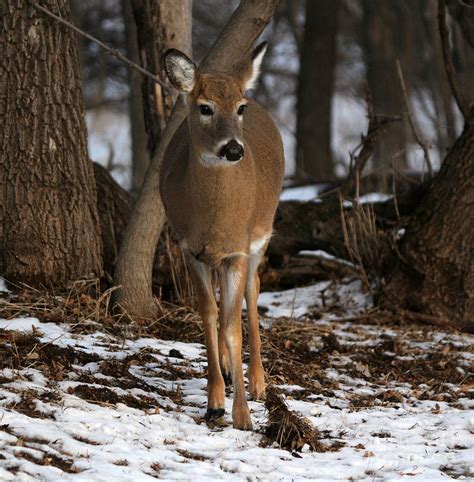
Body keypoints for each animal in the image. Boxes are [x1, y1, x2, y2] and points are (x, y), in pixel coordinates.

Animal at [161, 43, 284, 432]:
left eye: (239, 108)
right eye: (205, 107)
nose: (233, 149)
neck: (214, 219)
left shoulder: (237, 251)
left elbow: (232, 327)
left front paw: (242, 415)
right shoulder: (190, 248)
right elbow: (207, 313)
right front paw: (214, 402)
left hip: (261, 236)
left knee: (253, 294)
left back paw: (258, 382)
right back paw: (230, 373)